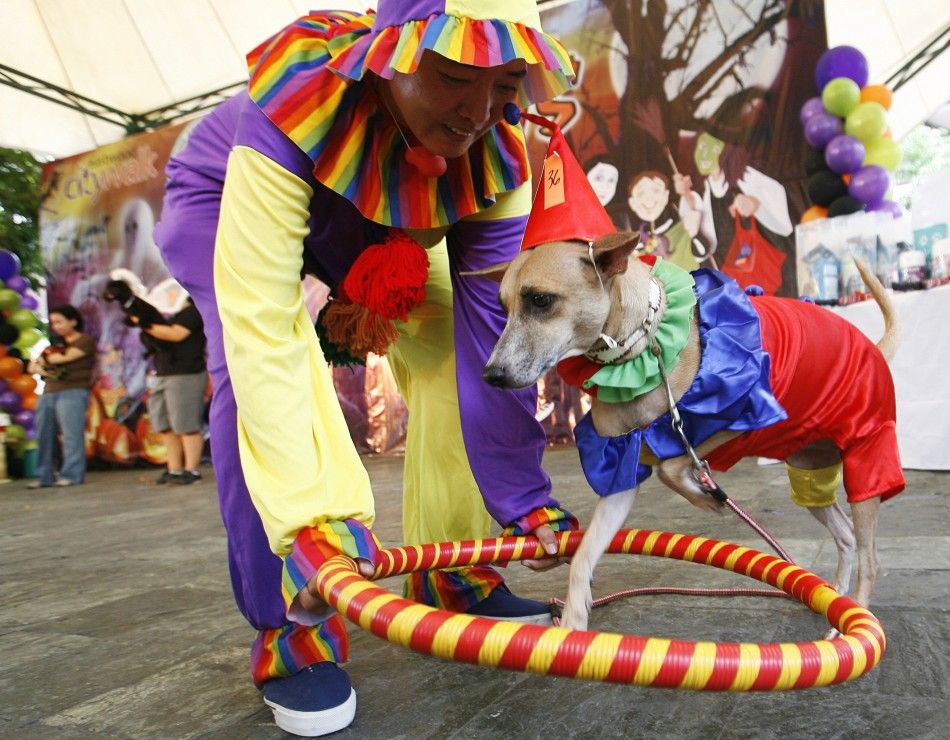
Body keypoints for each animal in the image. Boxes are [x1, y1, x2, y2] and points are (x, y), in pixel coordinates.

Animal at [480, 234, 904, 628]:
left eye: (540, 300)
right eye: (503, 307)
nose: (491, 375)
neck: (642, 346)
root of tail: (874, 348)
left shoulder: (733, 418)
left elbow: (671, 469)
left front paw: (705, 497)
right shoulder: (619, 468)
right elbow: (585, 554)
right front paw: (573, 619)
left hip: (865, 460)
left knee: (871, 557)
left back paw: (854, 610)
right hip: (810, 476)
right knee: (845, 535)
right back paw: (838, 599)